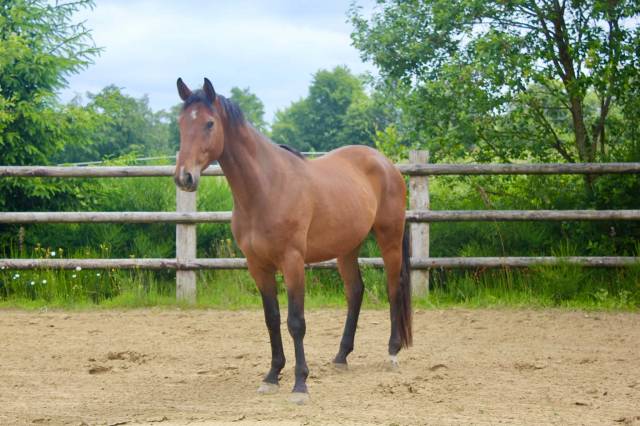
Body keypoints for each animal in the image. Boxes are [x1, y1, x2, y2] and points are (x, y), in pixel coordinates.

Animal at [174, 78, 412, 404]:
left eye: (209, 123)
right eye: (181, 123)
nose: (184, 177)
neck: (266, 189)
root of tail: (387, 164)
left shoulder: (293, 262)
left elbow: (296, 322)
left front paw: (300, 384)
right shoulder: (258, 266)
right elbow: (272, 319)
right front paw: (272, 376)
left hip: (389, 238)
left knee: (393, 288)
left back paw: (392, 353)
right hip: (347, 248)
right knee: (355, 292)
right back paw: (341, 357)